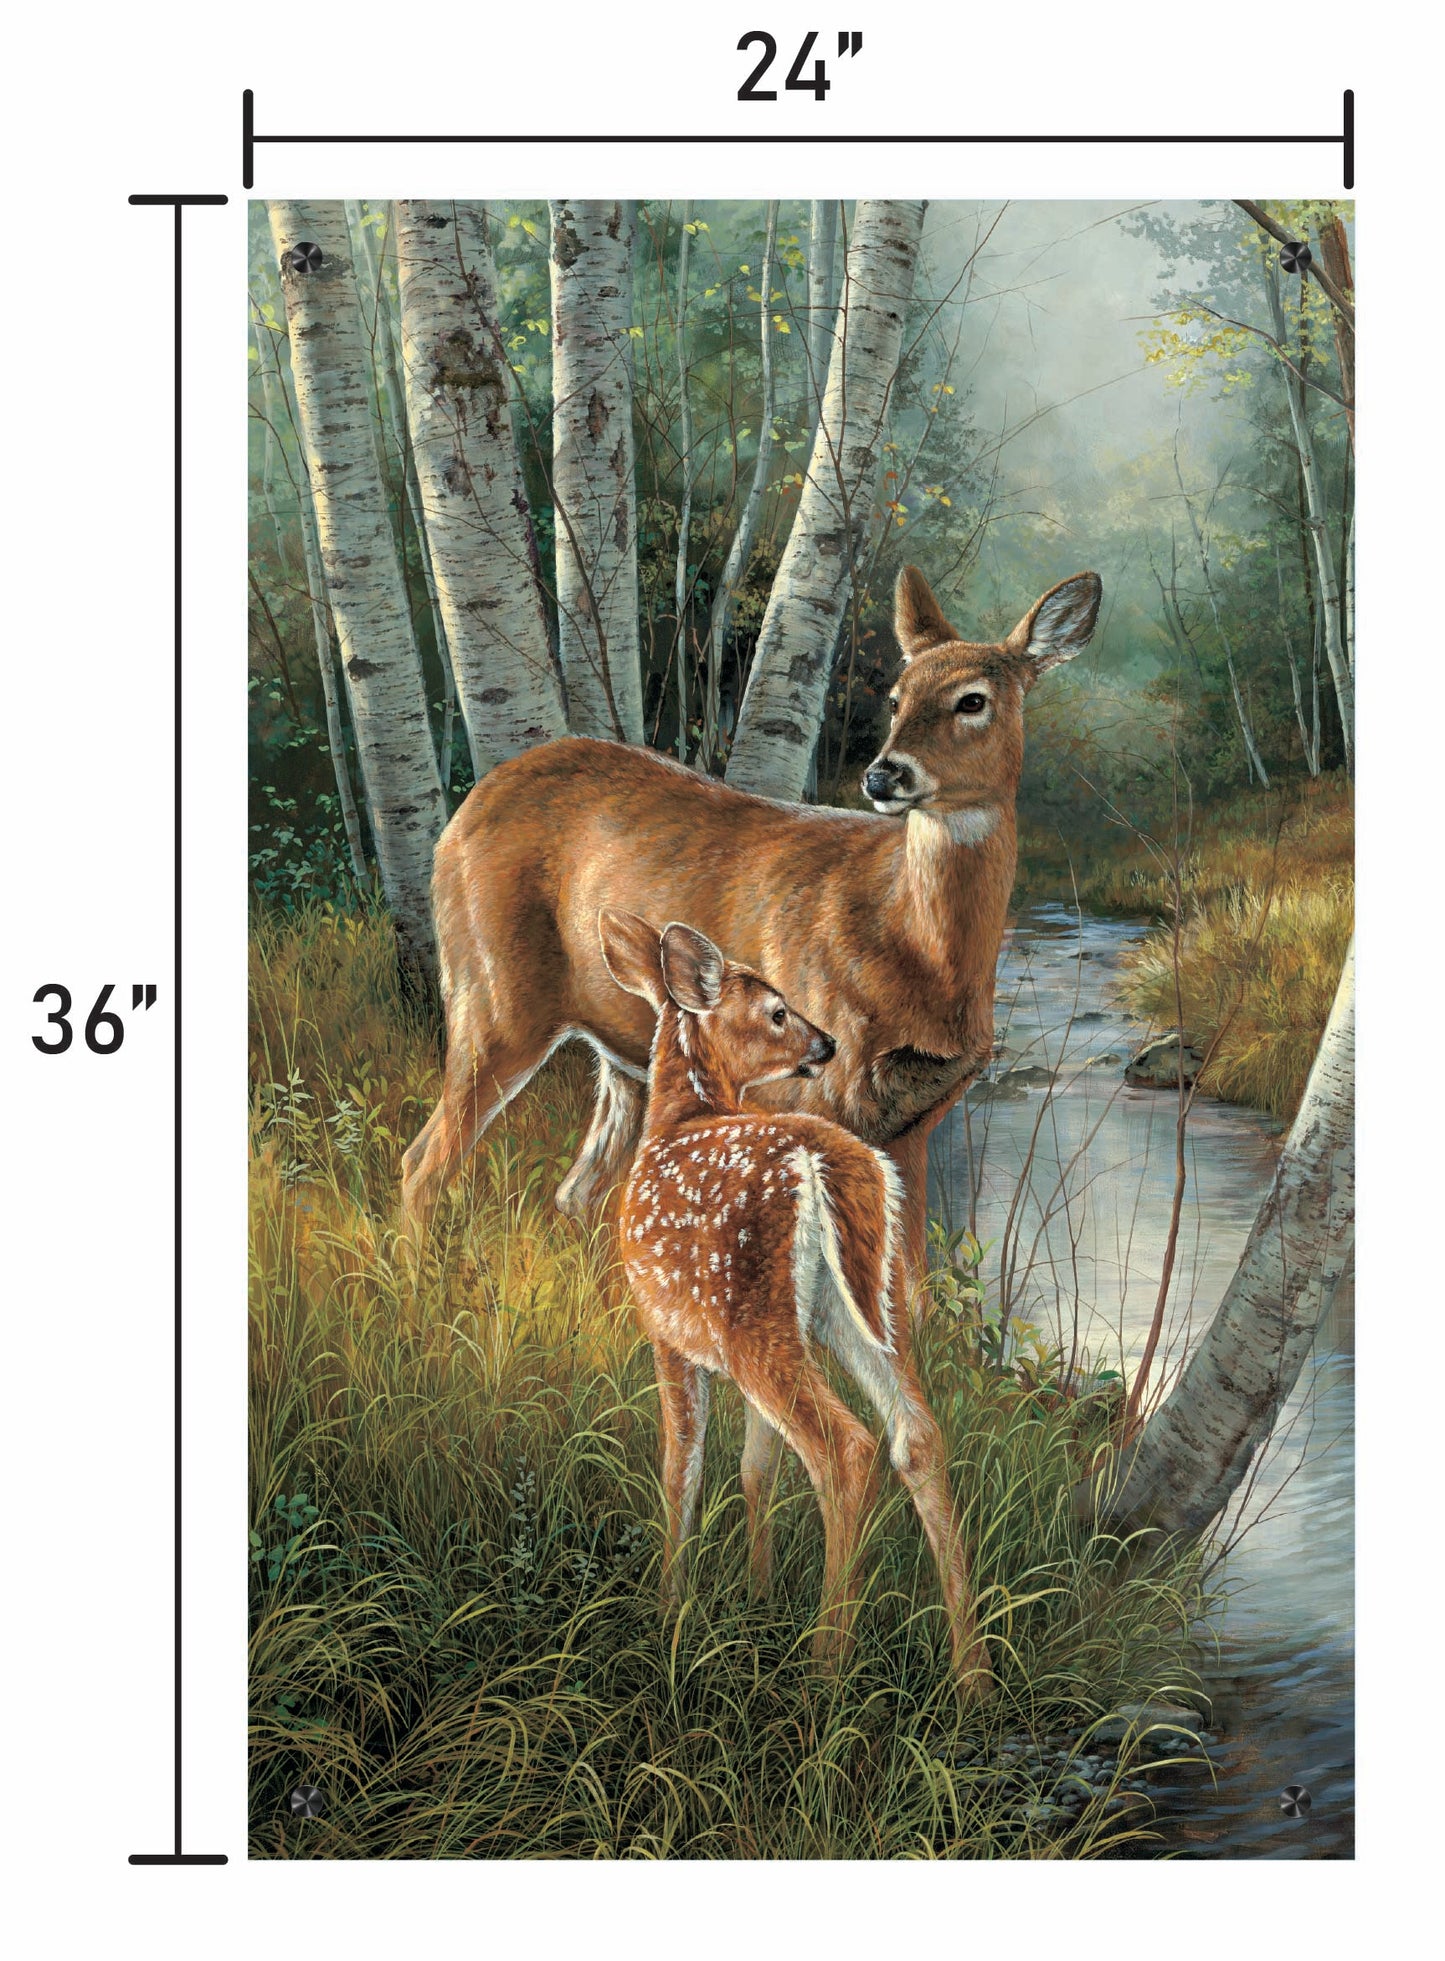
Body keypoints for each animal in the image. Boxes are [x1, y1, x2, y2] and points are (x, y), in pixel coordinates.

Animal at [401, 565, 1102, 1287]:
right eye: (896, 697)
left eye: (973, 700)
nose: (883, 774)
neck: (918, 950)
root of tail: (465, 811)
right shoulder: (808, 1097)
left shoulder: (914, 1120)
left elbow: (906, 1281)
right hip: (491, 997)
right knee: (423, 1158)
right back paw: (415, 1281)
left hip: (621, 1057)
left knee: (576, 1190)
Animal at [597, 907, 991, 1694]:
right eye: (777, 1010)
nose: (826, 1044)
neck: (679, 1116)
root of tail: (827, 1163)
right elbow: (756, 1469)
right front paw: (757, 1593)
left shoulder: (666, 1332)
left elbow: (681, 1465)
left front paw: (669, 1608)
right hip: (864, 1308)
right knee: (916, 1434)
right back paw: (973, 1672)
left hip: (754, 1317)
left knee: (846, 1447)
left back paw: (824, 1668)